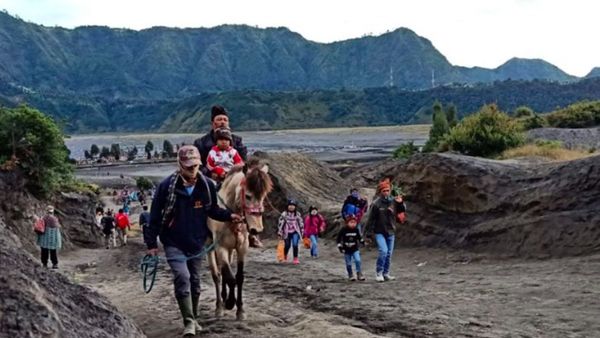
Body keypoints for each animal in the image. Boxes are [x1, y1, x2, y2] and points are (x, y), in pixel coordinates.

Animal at [206, 162, 272, 320]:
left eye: (263, 196)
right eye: (248, 196)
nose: (256, 229)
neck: (230, 216)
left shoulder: (241, 248)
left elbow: (239, 277)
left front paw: (240, 309)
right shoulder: (220, 247)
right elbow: (230, 278)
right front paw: (231, 303)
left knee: (224, 271)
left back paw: (224, 298)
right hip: (210, 246)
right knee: (216, 275)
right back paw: (219, 306)